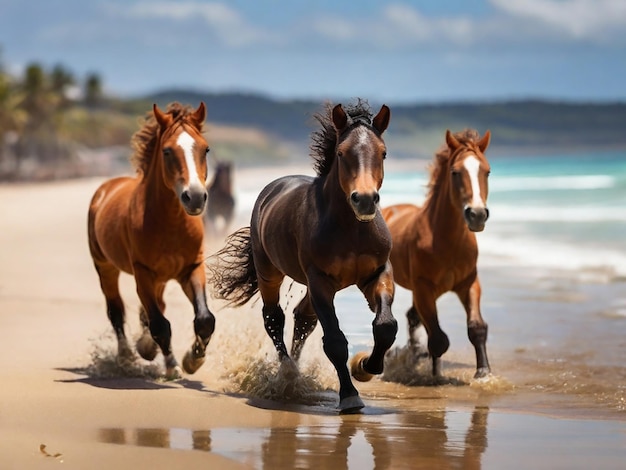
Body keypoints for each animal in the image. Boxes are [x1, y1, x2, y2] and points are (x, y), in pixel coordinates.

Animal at [86, 102, 216, 378]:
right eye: (167, 151)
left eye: (206, 149)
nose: (195, 197)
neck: (170, 223)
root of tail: (106, 188)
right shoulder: (143, 272)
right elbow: (159, 324)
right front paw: (172, 365)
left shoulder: (192, 268)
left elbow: (204, 319)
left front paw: (193, 359)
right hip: (106, 267)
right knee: (116, 310)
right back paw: (126, 356)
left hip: (161, 278)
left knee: (154, 307)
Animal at [208, 101, 394, 414]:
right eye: (341, 153)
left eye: (382, 152)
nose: (365, 200)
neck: (351, 229)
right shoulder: (319, 279)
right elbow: (334, 341)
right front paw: (349, 396)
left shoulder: (376, 273)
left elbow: (385, 327)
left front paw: (365, 367)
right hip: (270, 272)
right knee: (274, 318)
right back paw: (287, 373)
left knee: (303, 318)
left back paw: (295, 370)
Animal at [380, 129, 492, 378]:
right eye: (455, 172)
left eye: (487, 171)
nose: (477, 215)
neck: (446, 240)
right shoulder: (424, 287)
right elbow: (439, 339)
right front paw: (434, 375)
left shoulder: (469, 283)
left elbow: (477, 328)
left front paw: (484, 373)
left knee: (413, 318)